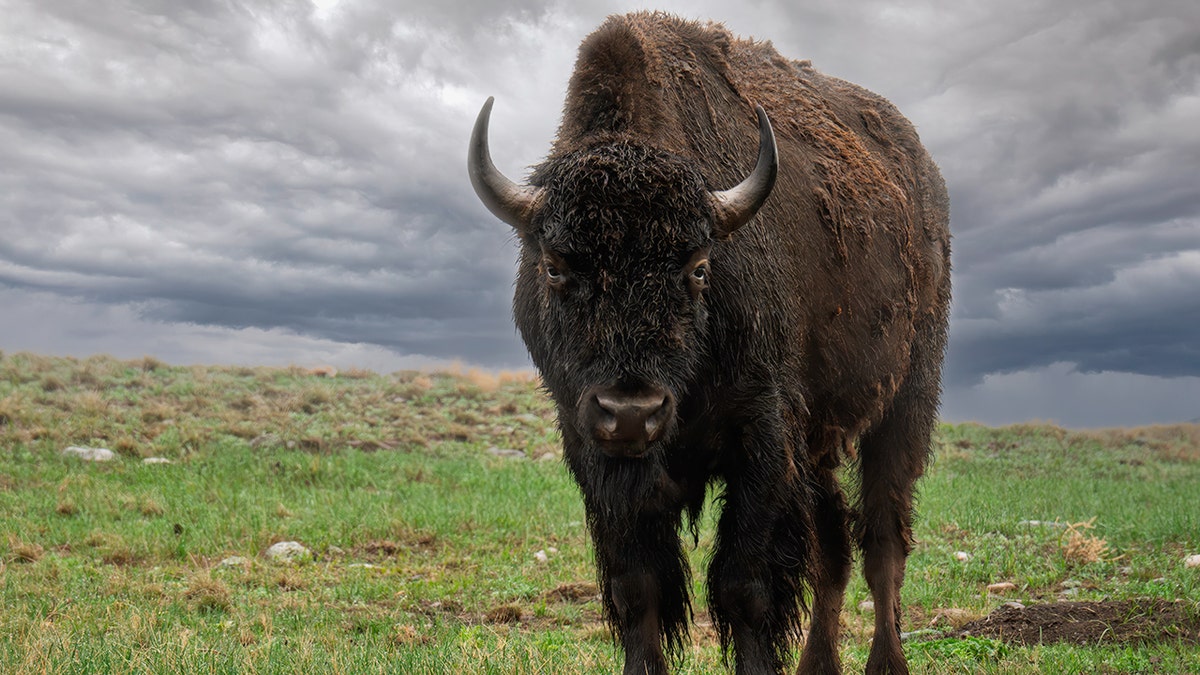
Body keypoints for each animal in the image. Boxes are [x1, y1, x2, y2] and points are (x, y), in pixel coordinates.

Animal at [468, 12, 950, 675]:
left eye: (698, 267)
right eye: (555, 266)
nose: (632, 413)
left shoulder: (763, 436)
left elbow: (743, 584)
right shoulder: (592, 449)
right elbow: (638, 586)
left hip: (905, 403)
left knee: (882, 540)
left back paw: (886, 662)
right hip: (821, 442)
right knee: (833, 545)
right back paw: (817, 664)